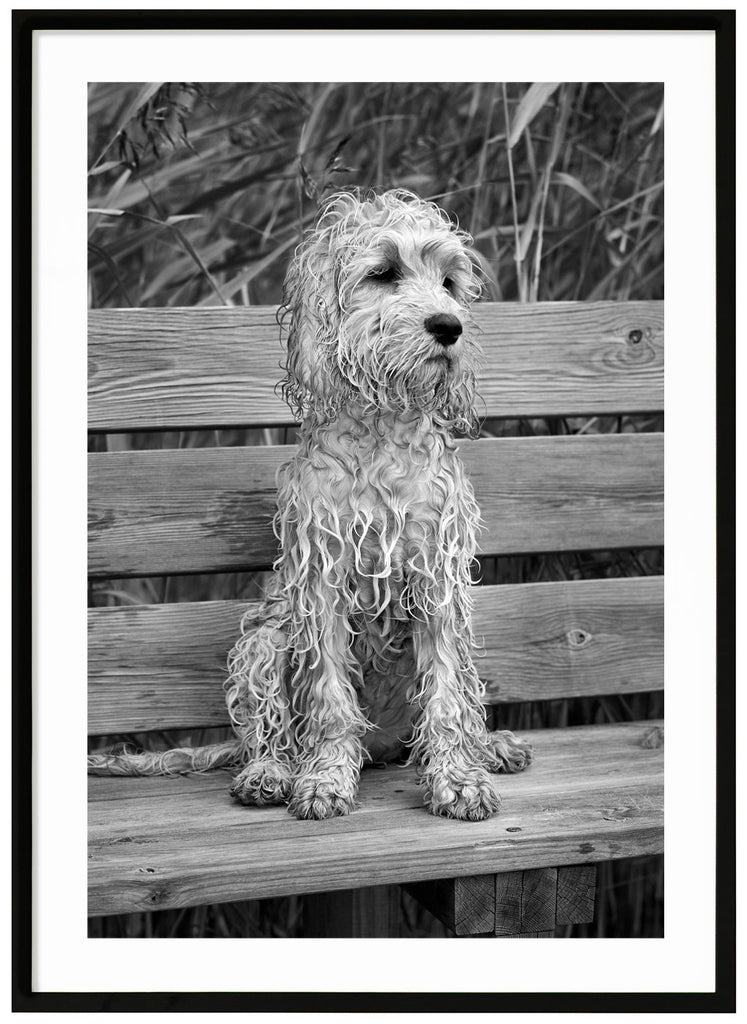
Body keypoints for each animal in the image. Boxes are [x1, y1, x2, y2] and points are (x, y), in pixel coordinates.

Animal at [87, 188, 528, 819]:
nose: (449, 326)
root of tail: (383, 748)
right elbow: (329, 699)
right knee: (267, 733)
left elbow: (447, 694)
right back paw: (270, 773)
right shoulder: (322, 580)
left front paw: (460, 779)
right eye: (383, 273)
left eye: (449, 280)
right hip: (264, 642)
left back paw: (489, 747)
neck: (382, 438)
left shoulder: (437, 577)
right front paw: (324, 780)